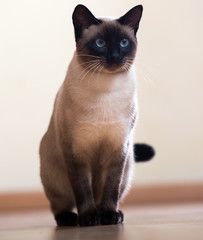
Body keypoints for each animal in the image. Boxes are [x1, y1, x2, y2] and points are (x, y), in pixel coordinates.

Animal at [39, 4, 154, 227]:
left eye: (124, 43)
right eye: (100, 43)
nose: (116, 56)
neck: (106, 91)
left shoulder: (118, 149)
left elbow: (111, 189)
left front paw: (109, 216)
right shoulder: (76, 151)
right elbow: (83, 190)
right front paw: (87, 218)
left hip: (127, 168)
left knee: (106, 195)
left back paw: (111, 215)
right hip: (54, 175)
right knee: (60, 205)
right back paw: (71, 218)